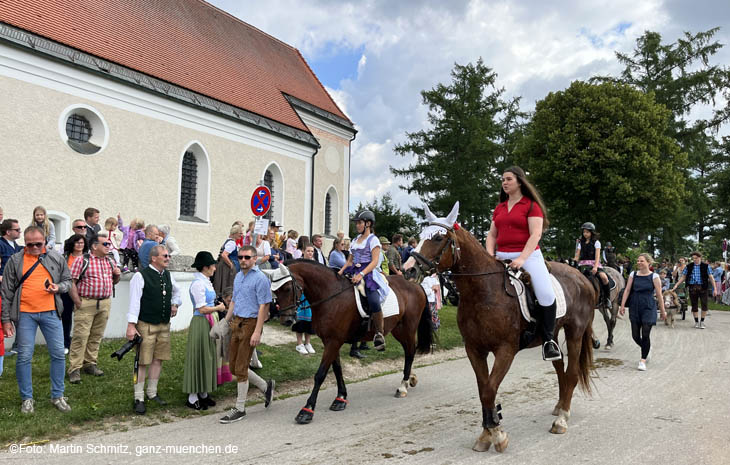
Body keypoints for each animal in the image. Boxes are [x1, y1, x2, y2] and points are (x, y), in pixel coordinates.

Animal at [264, 260, 430, 422]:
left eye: (287, 289)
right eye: (274, 291)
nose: (286, 320)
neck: (330, 295)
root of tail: (415, 285)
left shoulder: (334, 341)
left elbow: (320, 374)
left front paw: (307, 410)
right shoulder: (329, 341)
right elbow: (337, 369)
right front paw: (341, 398)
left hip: (407, 328)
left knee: (410, 352)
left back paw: (403, 386)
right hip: (398, 329)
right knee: (409, 352)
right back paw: (410, 378)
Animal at [400, 201, 596, 452]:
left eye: (437, 237)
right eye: (420, 235)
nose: (409, 270)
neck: (483, 291)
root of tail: (583, 278)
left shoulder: (505, 350)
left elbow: (489, 389)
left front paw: (497, 433)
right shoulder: (475, 350)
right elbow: (484, 390)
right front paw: (488, 433)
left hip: (575, 333)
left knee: (570, 374)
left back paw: (562, 419)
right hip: (550, 335)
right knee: (560, 368)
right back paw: (560, 407)